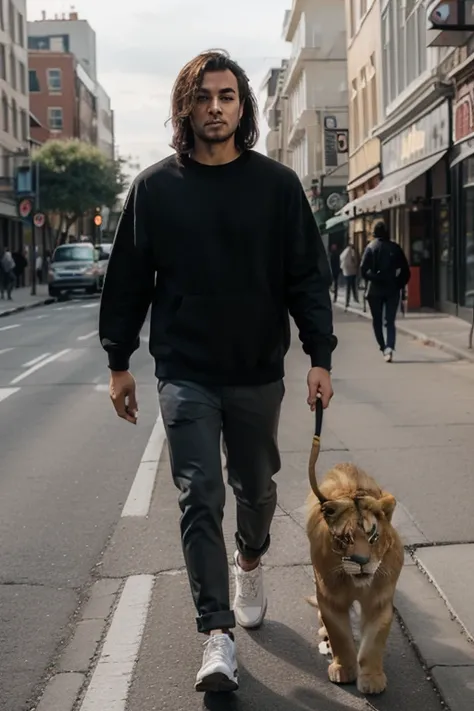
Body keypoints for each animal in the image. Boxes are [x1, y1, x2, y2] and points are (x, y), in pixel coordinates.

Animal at [308, 458, 404, 700]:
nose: (361, 560)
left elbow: (373, 644)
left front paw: (371, 679)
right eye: (346, 538)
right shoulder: (330, 600)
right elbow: (340, 637)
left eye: (373, 536)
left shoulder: (379, 602)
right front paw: (343, 670)